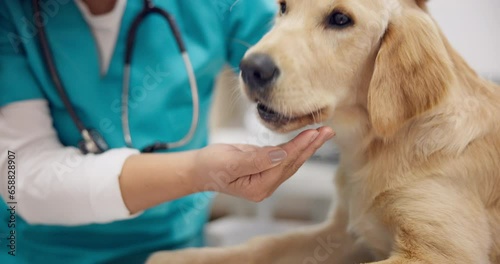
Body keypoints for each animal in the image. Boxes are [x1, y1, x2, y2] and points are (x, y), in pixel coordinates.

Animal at [146, 0, 498, 262]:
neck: (378, 146)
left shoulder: (440, 253)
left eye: (341, 19)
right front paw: (180, 257)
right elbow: (267, 243)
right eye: (283, 7)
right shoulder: (342, 233)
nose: (250, 68)